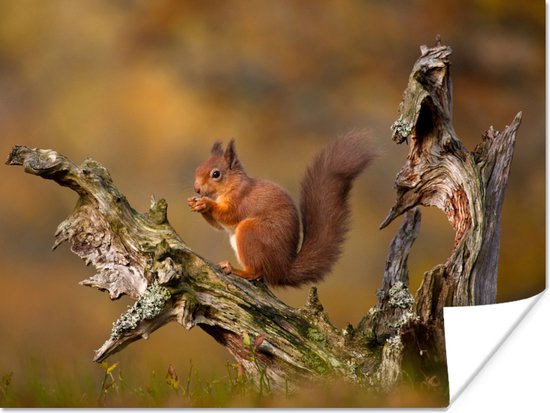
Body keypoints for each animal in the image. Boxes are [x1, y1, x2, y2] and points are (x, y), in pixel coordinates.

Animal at [189, 132, 376, 286]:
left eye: (216, 174)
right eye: (197, 168)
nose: (196, 189)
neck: (233, 186)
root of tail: (281, 270)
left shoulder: (241, 201)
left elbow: (229, 215)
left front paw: (206, 203)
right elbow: (219, 226)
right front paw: (195, 203)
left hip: (251, 232)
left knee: (256, 272)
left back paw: (236, 270)